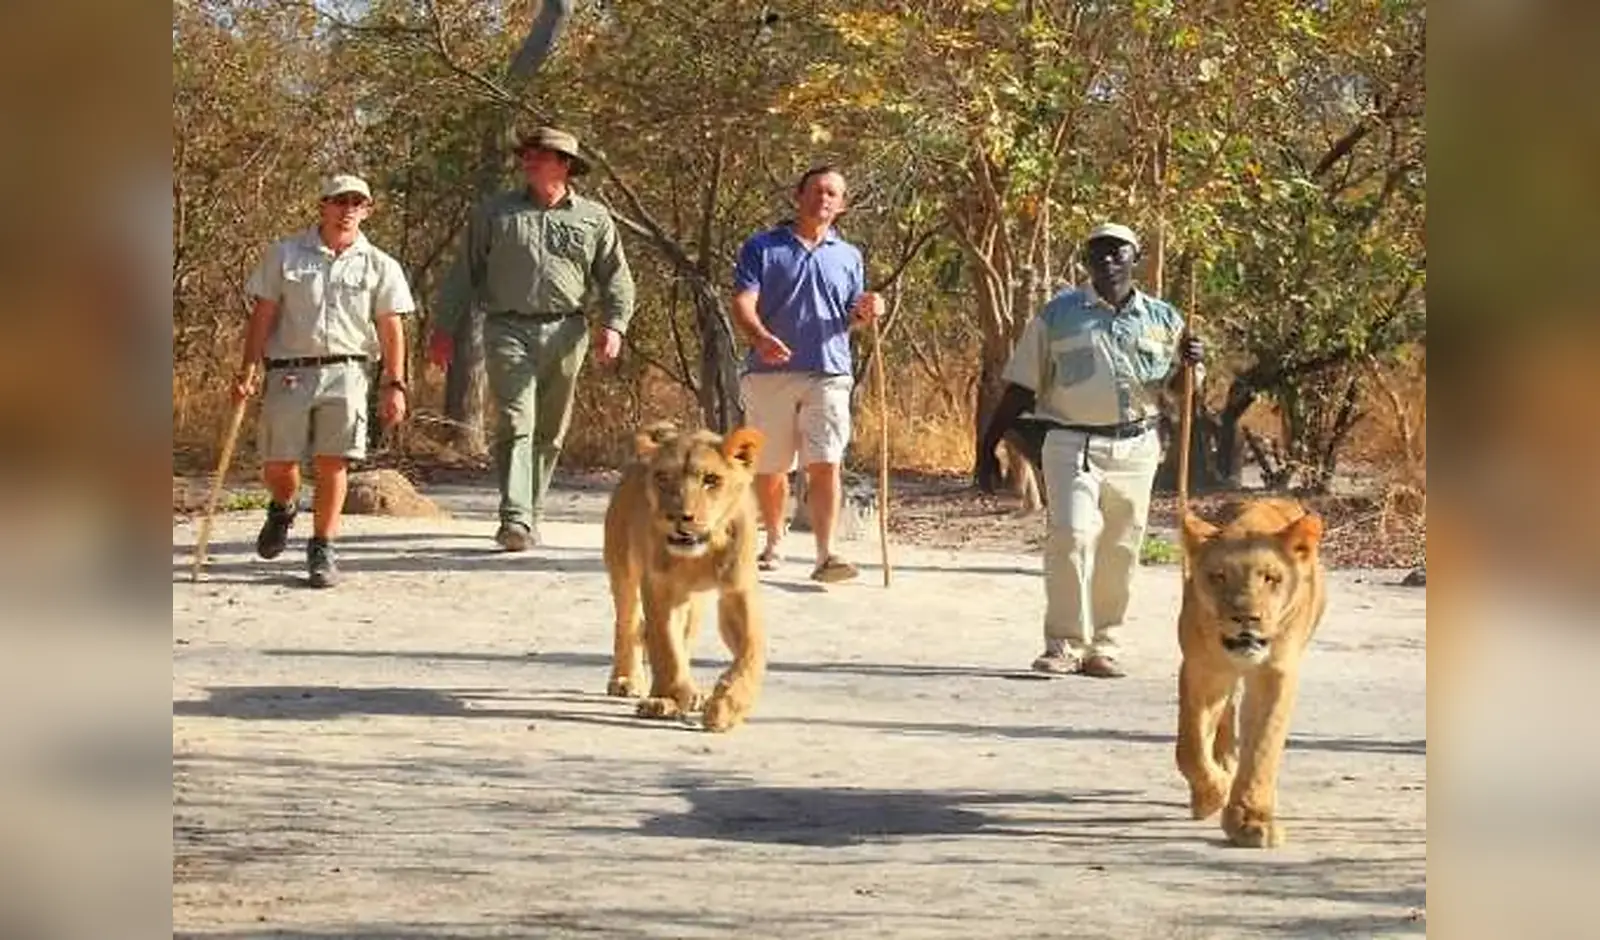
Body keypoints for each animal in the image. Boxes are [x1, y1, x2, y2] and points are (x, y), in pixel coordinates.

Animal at [601, 421, 767, 733]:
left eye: (711, 479)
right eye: (663, 477)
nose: (678, 517)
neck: (702, 552)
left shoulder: (737, 590)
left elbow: (751, 648)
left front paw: (727, 706)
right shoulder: (659, 587)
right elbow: (666, 644)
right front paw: (667, 699)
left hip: (695, 600)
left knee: (683, 636)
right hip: (623, 571)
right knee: (628, 625)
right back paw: (628, 680)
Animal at [1175, 497, 1327, 848]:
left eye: (1271, 578)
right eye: (1218, 576)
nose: (1247, 617)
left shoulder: (1274, 674)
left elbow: (1262, 746)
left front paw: (1250, 820)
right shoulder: (1203, 670)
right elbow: (1190, 748)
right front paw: (1211, 794)